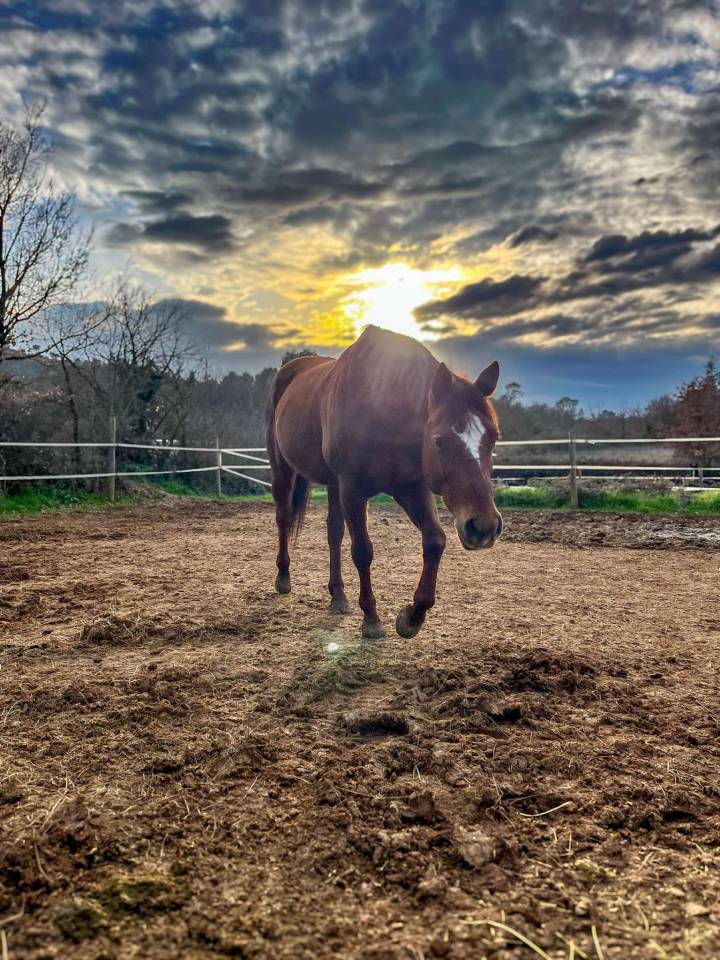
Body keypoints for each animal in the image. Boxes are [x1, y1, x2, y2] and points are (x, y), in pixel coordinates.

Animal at [265, 324, 502, 639]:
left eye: (494, 438)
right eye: (439, 440)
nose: (484, 527)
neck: (386, 415)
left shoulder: (412, 488)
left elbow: (435, 541)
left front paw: (412, 617)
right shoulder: (354, 490)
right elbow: (363, 551)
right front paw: (371, 617)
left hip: (333, 484)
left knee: (333, 532)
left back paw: (338, 595)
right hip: (283, 467)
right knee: (283, 517)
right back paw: (283, 576)